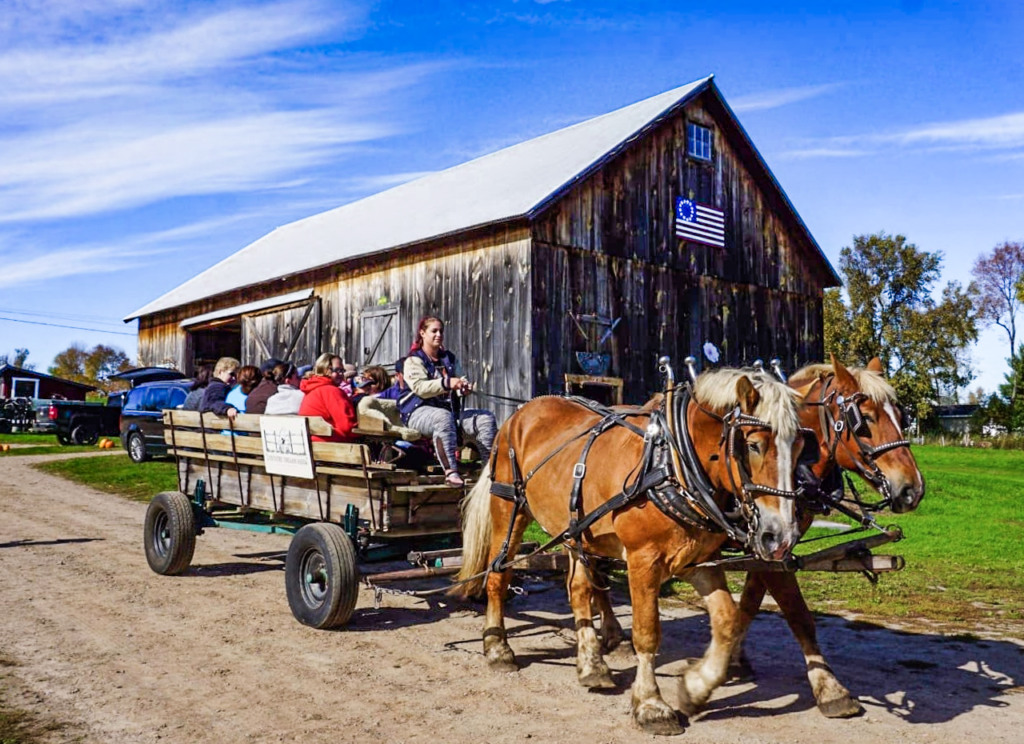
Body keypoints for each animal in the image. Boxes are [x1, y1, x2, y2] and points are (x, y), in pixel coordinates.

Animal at [458, 370, 806, 736]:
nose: (781, 536)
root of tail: (520, 413)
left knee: (578, 590)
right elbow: (647, 633)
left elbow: (728, 621)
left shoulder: (697, 562)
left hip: (573, 527)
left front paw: (695, 687)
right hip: (509, 509)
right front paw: (651, 705)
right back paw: (497, 647)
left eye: (800, 446)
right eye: (753, 445)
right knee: (498, 574)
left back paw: (592, 664)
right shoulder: (643, 560)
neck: (672, 464)